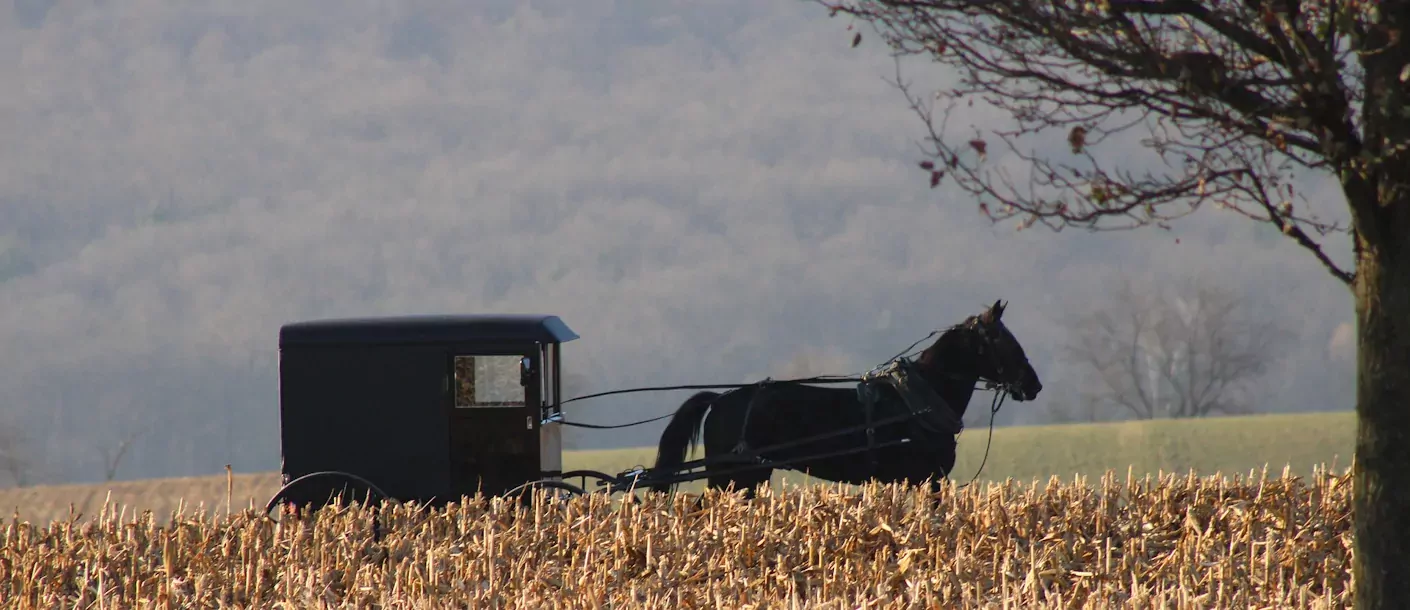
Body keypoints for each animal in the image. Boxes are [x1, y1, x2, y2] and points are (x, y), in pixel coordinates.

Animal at [645, 298, 1037, 495]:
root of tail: (720, 400)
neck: (918, 402)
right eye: (1002, 339)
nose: (1034, 385)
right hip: (732, 478)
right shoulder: (929, 480)